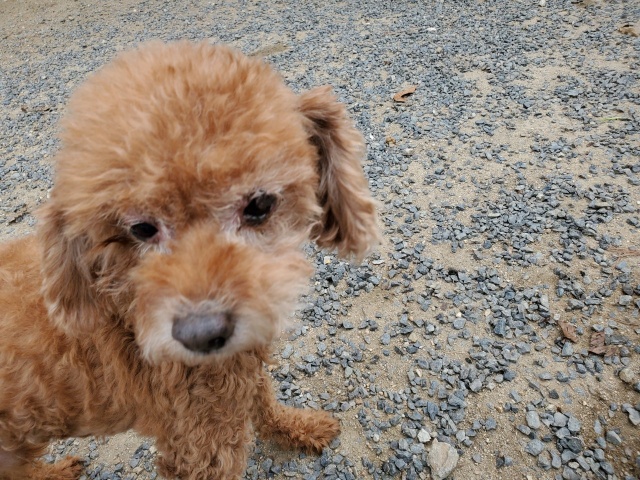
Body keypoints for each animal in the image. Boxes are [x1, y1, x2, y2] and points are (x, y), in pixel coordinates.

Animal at [0, 41, 379, 480]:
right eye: (141, 228)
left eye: (260, 205)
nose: (201, 334)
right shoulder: (201, 441)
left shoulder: (236, 375)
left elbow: (264, 400)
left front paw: (298, 427)